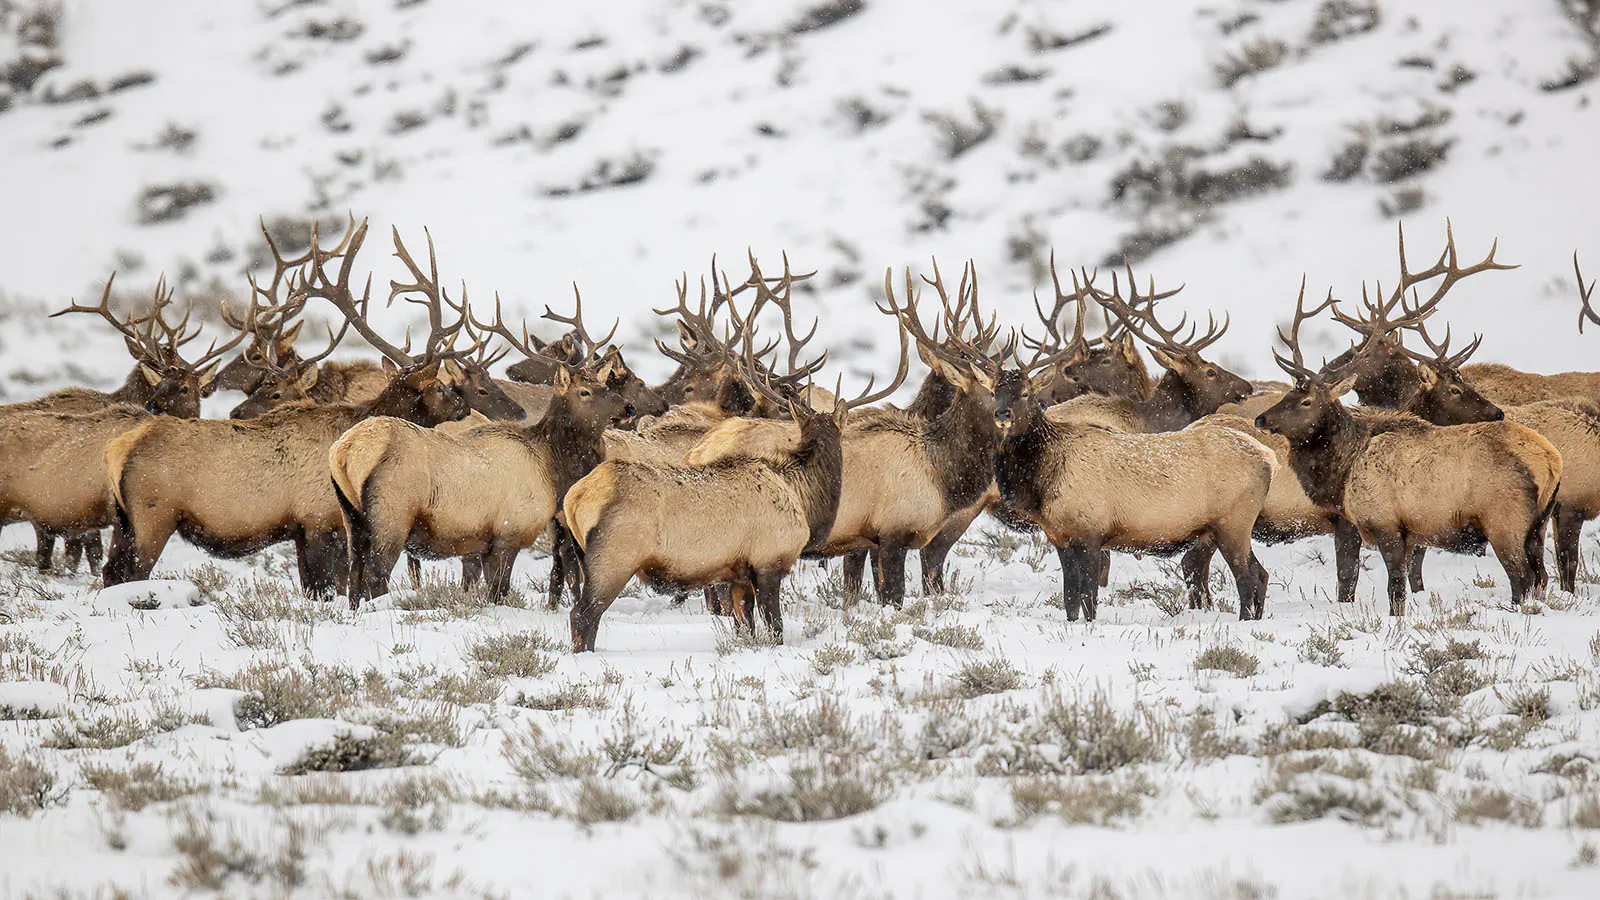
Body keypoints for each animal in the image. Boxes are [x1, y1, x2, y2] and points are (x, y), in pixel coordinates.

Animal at [102, 219, 522, 595]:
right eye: (438, 385)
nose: (462, 405)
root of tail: (117, 450)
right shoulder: (320, 520)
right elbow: (328, 587)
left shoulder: (307, 530)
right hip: (153, 515)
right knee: (130, 571)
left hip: (123, 522)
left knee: (111, 571)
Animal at [330, 296, 630, 606]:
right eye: (584, 392)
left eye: (604, 384)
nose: (628, 407)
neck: (552, 472)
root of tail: (344, 451)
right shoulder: (509, 535)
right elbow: (499, 591)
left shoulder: (483, 544)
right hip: (391, 516)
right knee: (376, 574)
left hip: (351, 517)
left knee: (354, 574)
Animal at [1255, 289, 1561, 616]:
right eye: (1289, 392)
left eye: (1306, 401)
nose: (1261, 419)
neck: (1344, 471)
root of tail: (1552, 461)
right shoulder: (1408, 533)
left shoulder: (1386, 524)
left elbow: (1393, 589)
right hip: (1538, 526)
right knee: (1542, 576)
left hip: (1504, 521)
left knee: (1523, 577)